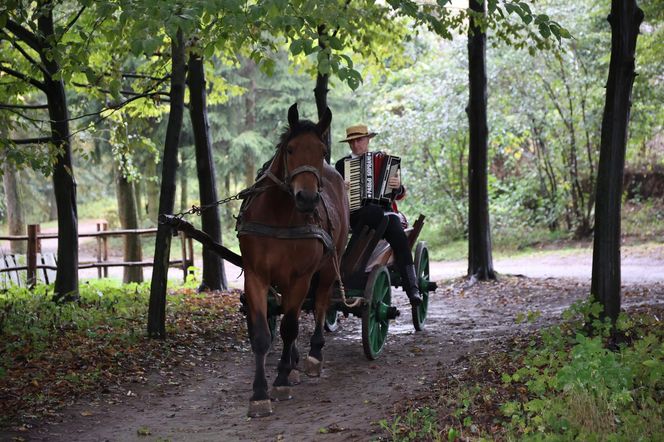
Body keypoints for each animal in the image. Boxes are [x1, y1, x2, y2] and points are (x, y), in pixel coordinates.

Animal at [236, 103, 348, 418]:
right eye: (290, 149)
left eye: (322, 150)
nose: (307, 198)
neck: (278, 217)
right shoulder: (256, 276)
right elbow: (262, 335)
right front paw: (259, 394)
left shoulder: (301, 278)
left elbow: (289, 327)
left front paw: (281, 381)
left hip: (329, 266)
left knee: (320, 304)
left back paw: (312, 356)